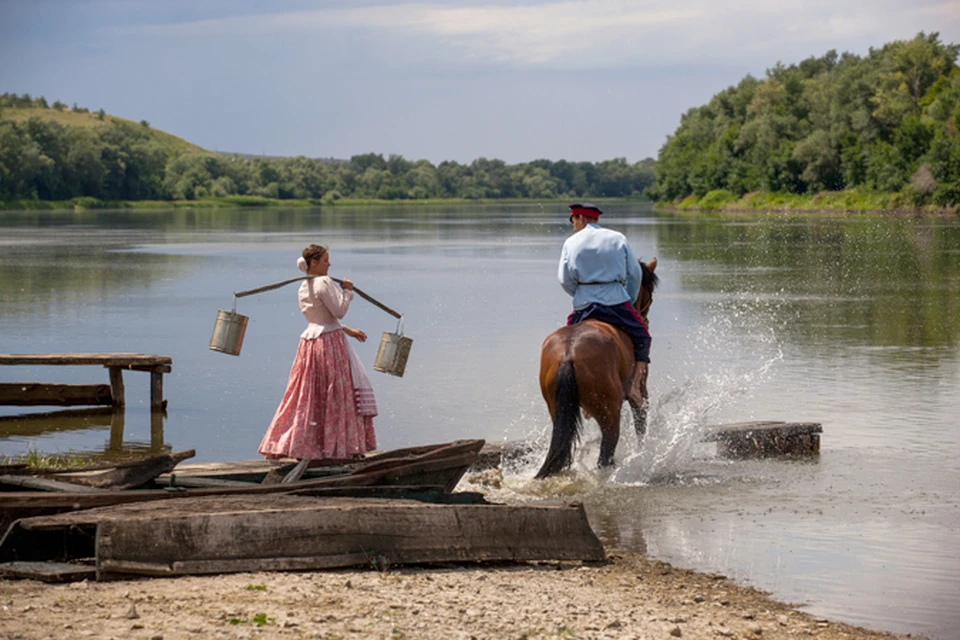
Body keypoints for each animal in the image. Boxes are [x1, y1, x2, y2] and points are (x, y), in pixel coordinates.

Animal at [532, 258, 660, 478]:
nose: (645, 319)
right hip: (610, 414)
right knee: (605, 455)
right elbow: (640, 425)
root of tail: (568, 353)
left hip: (558, 409)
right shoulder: (641, 392)